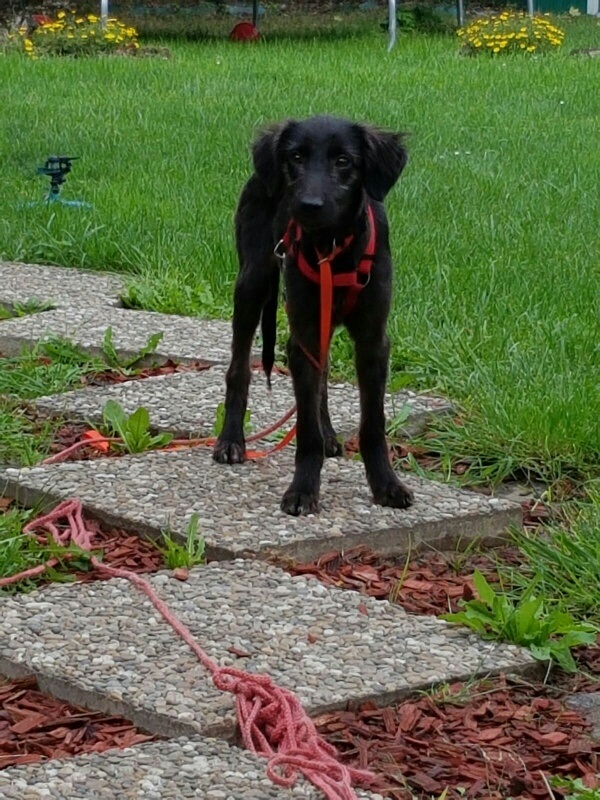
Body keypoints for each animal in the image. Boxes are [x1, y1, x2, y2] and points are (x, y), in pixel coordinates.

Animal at [213, 115, 414, 517]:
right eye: (295, 157)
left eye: (343, 161)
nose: (307, 206)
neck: (332, 247)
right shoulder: (302, 334)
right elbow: (305, 428)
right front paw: (303, 489)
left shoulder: (373, 340)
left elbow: (373, 422)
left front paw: (386, 484)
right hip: (252, 282)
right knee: (238, 370)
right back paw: (231, 441)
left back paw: (331, 435)